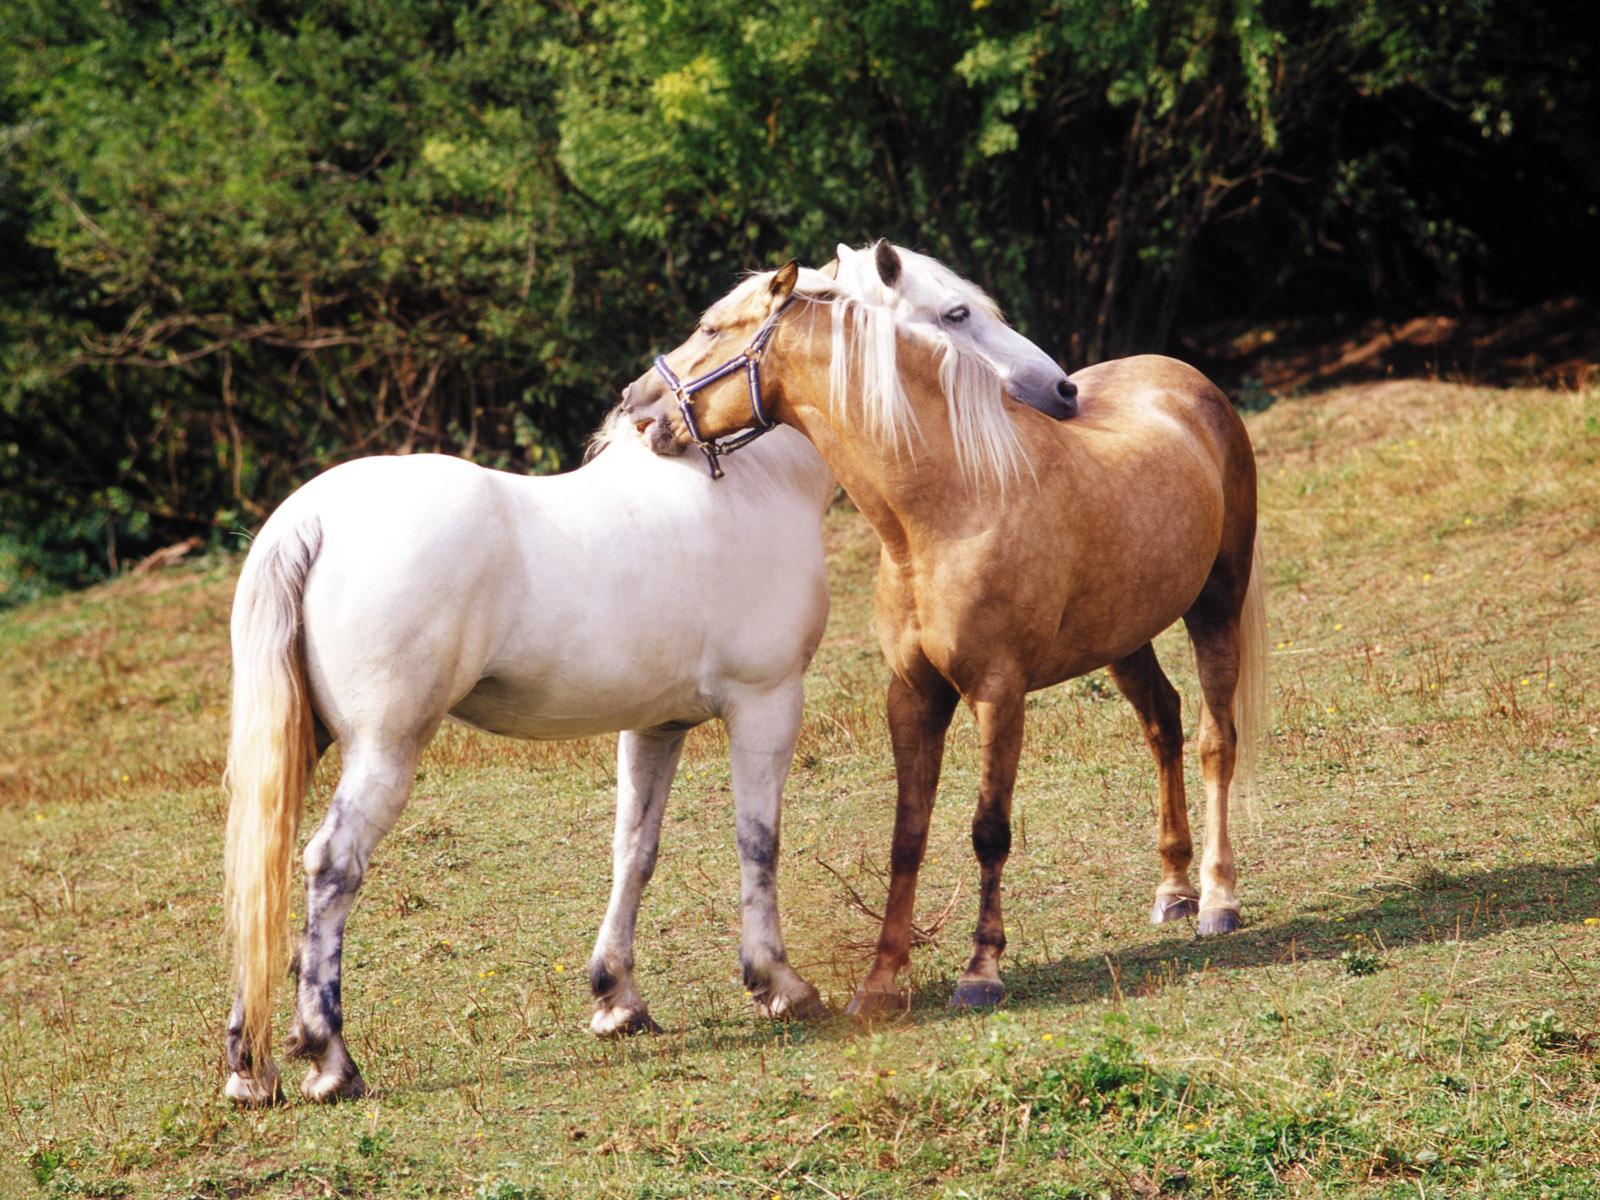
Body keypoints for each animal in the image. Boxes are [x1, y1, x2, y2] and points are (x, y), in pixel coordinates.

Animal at [620, 240, 1267, 1015]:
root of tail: (1185, 379)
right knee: (1162, 723)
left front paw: (981, 970)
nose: (636, 404)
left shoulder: (997, 693)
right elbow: (908, 834)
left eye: (713, 329)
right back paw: (1173, 890)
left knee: (1214, 741)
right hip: (1123, 635)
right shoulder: (913, 695)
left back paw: (1217, 900)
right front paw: (880, 981)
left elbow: (989, 830)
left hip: (1216, 606)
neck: (949, 504)